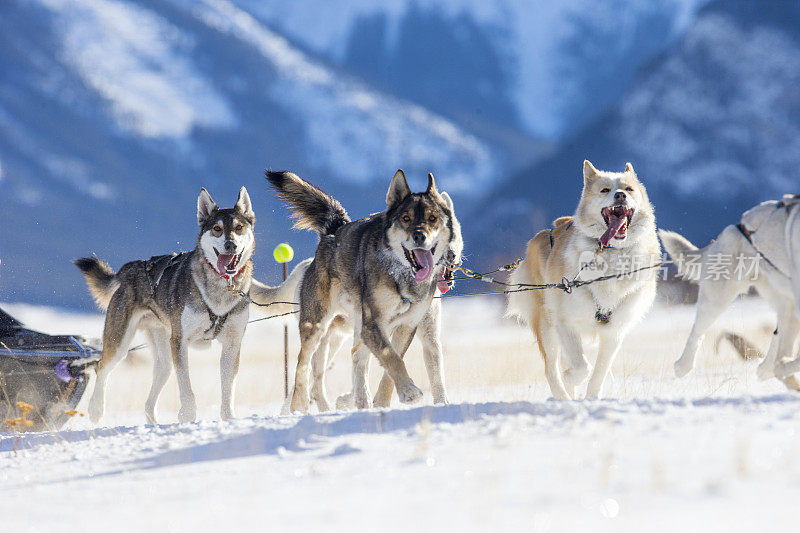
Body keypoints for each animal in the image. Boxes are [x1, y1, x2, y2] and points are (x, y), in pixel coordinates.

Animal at [76, 187, 306, 424]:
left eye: (239, 227)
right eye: (216, 228)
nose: (230, 245)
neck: (220, 288)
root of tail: (132, 267)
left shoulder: (232, 344)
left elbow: (228, 389)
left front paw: (228, 417)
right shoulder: (180, 342)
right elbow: (186, 387)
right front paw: (187, 416)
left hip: (163, 357)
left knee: (150, 400)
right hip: (121, 341)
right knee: (102, 368)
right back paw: (96, 408)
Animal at [266, 170, 460, 412]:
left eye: (433, 218)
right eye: (405, 218)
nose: (419, 236)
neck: (401, 274)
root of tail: (334, 231)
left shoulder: (406, 326)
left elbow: (393, 360)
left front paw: (389, 398)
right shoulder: (373, 323)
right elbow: (391, 357)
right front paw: (408, 391)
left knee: (357, 355)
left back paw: (362, 400)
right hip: (317, 325)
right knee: (303, 363)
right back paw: (299, 404)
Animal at [510, 160, 660, 396]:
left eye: (628, 189)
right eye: (605, 190)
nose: (620, 196)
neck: (611, 254)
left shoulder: (614, 333)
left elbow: (598, 373)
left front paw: (591, 397)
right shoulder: (565, 323)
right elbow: (582, 367)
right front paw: (571, 377)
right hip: (546, 326)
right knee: (551, 370)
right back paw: (563, 395)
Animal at [660, 193, 800, 384]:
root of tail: (733, 227)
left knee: (779, 336)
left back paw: (770, 370)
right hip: (717, 299)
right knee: (697, 333)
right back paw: (682, 366)